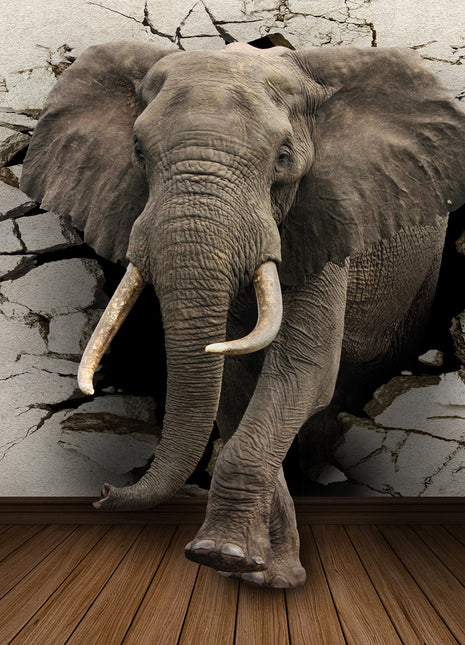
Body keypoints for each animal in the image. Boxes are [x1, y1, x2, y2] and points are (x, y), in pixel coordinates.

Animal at [21, 41, 465, 588]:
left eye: (283, 157)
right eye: (139, 153)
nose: (103, 493)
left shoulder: (321, 221)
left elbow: (303, 372)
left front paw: (225, 556)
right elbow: (234, 386)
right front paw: (258, 572)